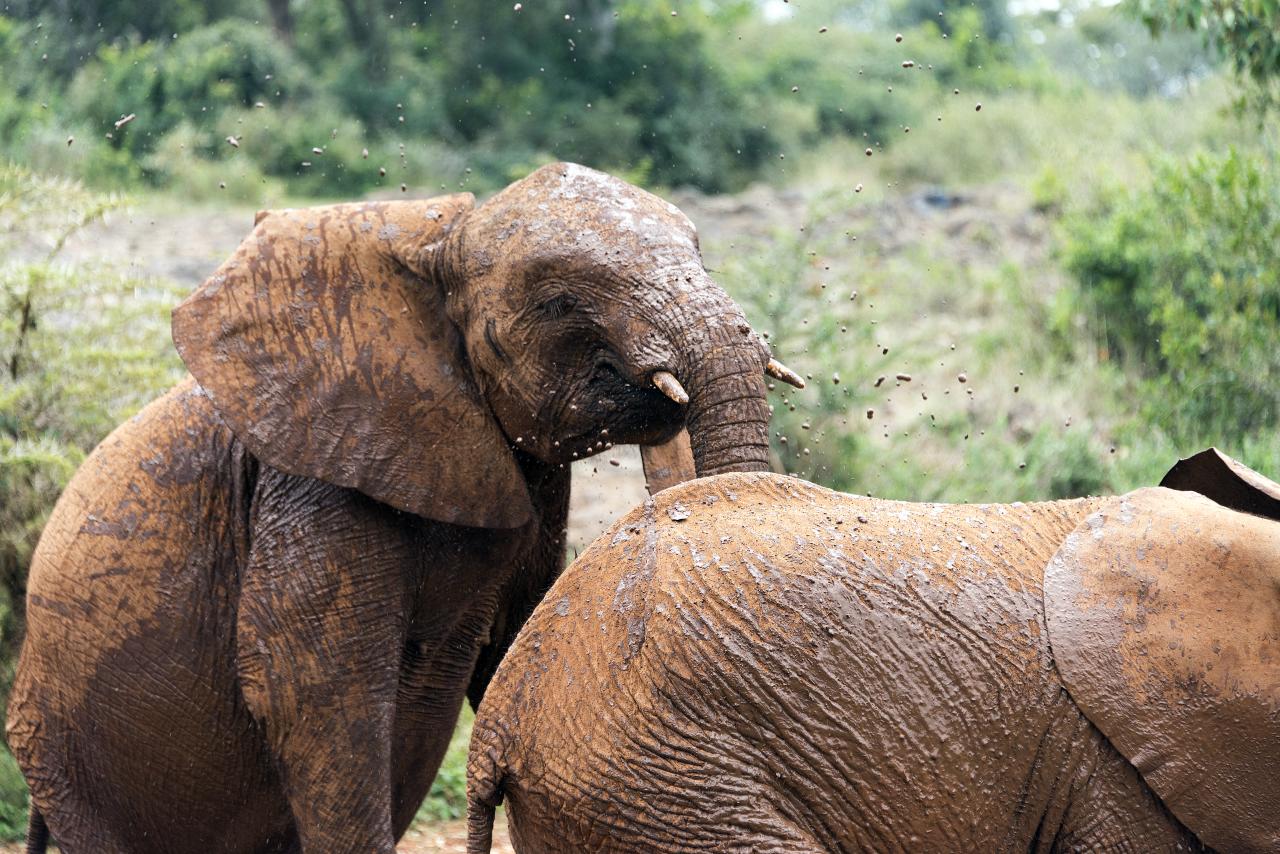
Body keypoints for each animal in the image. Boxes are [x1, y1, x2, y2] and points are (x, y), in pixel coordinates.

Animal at [2, 161, 798, 854]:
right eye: (559, 303)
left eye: (702, 251)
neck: (439, 248)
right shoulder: (313, 481)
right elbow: (310, 692)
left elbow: (517, 647)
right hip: (62, 753)